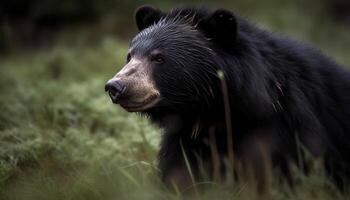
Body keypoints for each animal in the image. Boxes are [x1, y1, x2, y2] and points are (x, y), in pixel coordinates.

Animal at [105, 5, 350, 192]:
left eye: (158, 58)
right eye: (130, 56)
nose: (115, 86)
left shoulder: (287, 125)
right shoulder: (186, 140)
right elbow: (181, 174)